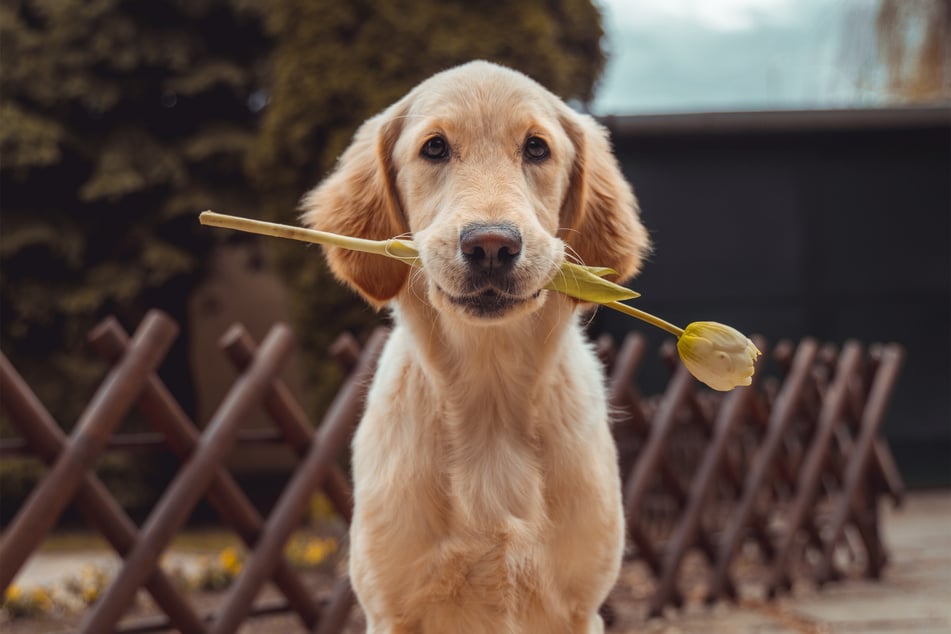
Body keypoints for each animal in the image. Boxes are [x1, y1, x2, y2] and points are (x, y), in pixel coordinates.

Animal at [304, 60, 656, 632]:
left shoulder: (581, 608)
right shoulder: (390, 608)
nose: (492, 245)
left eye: (536, 148)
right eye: (435, 148)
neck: (490, 398)